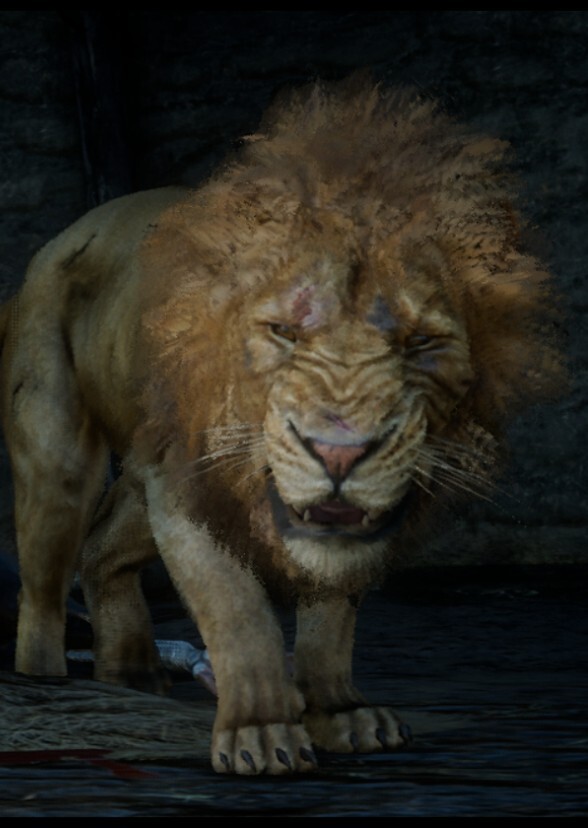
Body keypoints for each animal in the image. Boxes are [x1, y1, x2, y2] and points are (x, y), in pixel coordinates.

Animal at [0, 80, 562, 775]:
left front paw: (340, 713)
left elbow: (331, 620)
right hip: (59, 460)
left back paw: (131, 672)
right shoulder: (186, 487)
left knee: (102, 546)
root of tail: (59, 241)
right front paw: (261, 730)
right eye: (284, 332)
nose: (339, 454)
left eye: (419, 342)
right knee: (43, 594)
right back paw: (48, 689)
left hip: (141, 469)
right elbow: (237, 611)